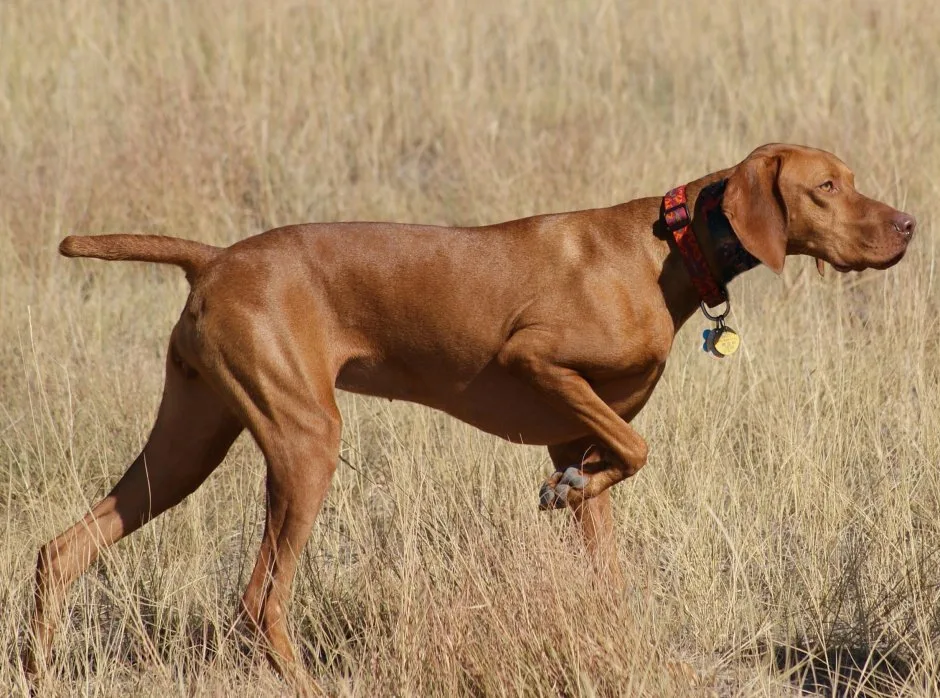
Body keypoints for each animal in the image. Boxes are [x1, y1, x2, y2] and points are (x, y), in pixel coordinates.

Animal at [25, 143, 916, 680]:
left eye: (850, 178)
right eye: (825, 187)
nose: (909, 224)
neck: (667, 247)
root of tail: (214, 259)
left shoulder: (572, 431)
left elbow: (608, 540)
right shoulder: (536, 360)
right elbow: (638, 447)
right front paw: (568, 493)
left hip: (188, 444)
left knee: (60, 552)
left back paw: (37, 667)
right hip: (304, 443)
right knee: (259, 600)